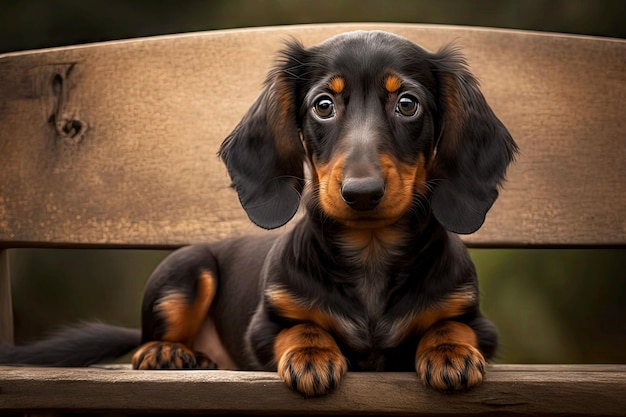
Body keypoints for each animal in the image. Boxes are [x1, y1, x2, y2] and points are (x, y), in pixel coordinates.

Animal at [1, 31, 516, 396]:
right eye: (323, 105)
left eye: (407, 104)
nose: (361, 193)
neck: (370, 251)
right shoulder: (263, 327)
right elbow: (302, 325)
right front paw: (312, 355)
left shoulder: (481, 324)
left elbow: (452, 323)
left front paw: (449, 351)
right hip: (187, 267)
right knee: (154, 332)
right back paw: (166, 351)